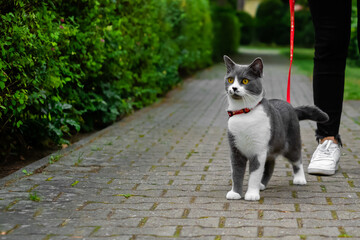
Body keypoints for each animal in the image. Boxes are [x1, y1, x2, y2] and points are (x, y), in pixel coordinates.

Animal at [225, 55, 330, 201]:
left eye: (245, 80)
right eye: (230, 79)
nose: (234, 88)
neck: (244, 113)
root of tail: (292, 108)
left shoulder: (258, 151)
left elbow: (254, 174)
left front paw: (251, 194)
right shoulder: (235, 150)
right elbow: (236, 173)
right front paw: (235, 193)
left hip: (291, 143)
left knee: (297, 160)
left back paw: (299, 179)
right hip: (271, 149)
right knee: (270, 166)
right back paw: (262, 185)